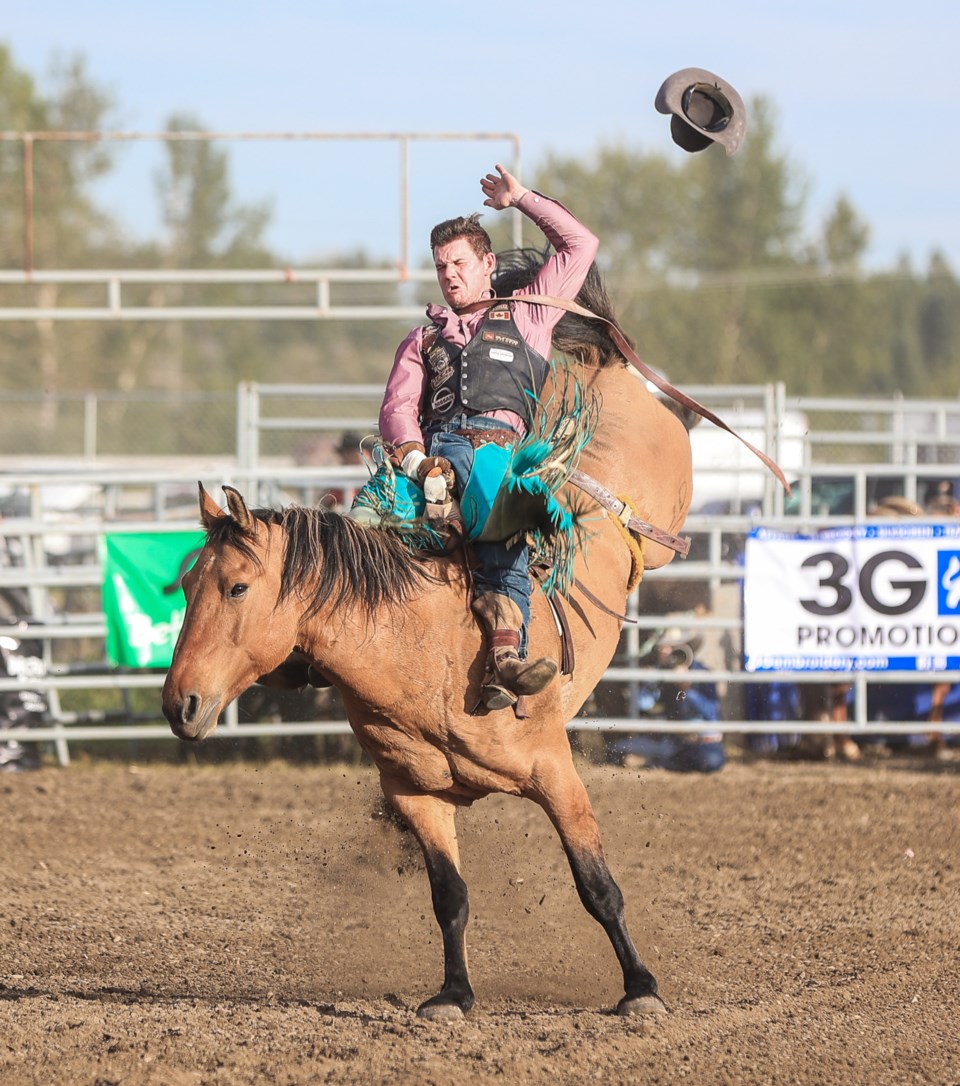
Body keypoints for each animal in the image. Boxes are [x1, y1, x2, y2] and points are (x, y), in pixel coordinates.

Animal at [162, 273, 690, 1016]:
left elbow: (598, 888)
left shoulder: (555, 771)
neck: (424, 651)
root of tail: (592, 363)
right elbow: (450, 900)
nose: (178, 703)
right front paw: (453, 993)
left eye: (236, 587)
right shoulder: (419, 795)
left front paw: (640, 989)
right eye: (185, 583)